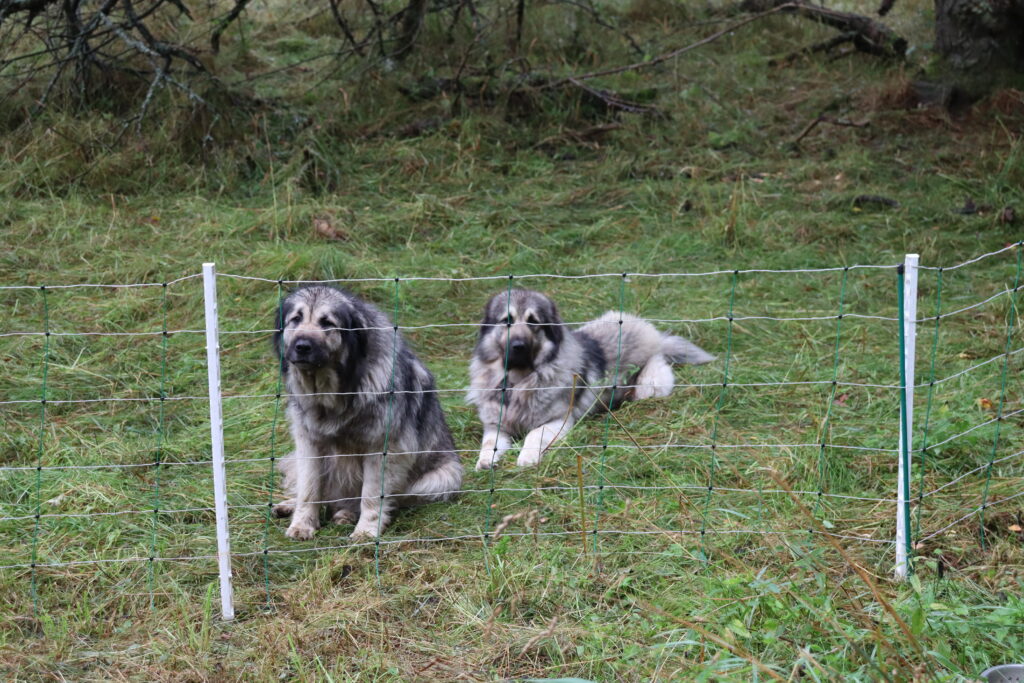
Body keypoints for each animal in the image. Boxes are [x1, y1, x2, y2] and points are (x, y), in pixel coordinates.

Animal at [272, 284, 464, 540]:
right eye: (296, 319)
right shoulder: (308, 444)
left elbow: (372, 495)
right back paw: (290, 506)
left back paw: (346, 514)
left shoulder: (383, 449)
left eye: (327, 322)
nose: (302, 346)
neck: (335, 394)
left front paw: (366, 531)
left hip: (443, 478)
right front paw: (303, 524)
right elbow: (309, 489)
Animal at [468, 288, 716, 471]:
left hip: (650, 385)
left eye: (533, 322)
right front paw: (485, 460)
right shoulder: (496, 425)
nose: (518, 346)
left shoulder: (558, 421)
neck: (520, 381)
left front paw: (526, 457)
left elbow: (533, 434)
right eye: (506, 321)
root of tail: (655, 336)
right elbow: (489, 442)